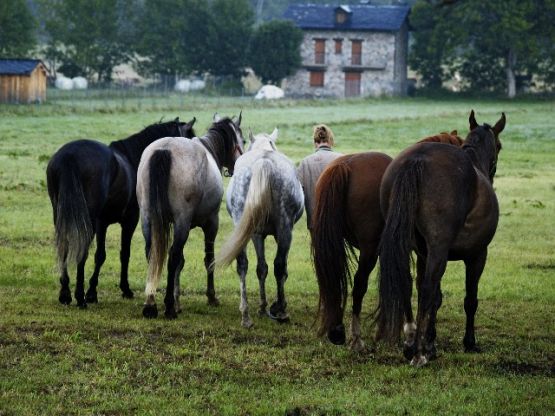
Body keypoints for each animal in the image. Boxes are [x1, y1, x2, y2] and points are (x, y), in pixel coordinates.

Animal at [46, 117, 198, 308]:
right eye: (189, 137)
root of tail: (70, 156)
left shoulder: (102, 222)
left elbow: (100, 255)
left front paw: (92, 292)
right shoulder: (129, 220)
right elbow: (124, 254)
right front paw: (121, 289)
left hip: (59, 214)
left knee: (64, 246)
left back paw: (65, 293)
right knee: (81, 250)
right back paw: (79, 297)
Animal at [136, 114, 243, 318]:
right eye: (243, 140)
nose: (239, 162)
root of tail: (165, 149)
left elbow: (181, 263)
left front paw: (177, 300)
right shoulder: (211, 223)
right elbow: (208, 259)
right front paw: (211, 297)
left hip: (147, 218)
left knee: (152, 253)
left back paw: (151, 302)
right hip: (182, 223)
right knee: (172, 256)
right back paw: (169, 307)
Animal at [216, 128, 304, 326]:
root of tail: (264, 162)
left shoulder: (256, 234)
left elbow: (261, 268)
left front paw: (263, 307)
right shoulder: (267, 234)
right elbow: (273, 268)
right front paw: (269, 306)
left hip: (243, 226)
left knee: (243, 265)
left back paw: (245, 314)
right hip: (284, 229)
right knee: (279, 266)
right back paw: (280, 311)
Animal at [310, 131, 462, 352]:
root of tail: (346, 165)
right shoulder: (419, 253)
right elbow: (416, 285)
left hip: (332, 246)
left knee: (332, 280)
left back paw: (337, 331)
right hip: (369, 250)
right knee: (359, 285)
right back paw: (357, 338)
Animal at [376, 111, 506, 368]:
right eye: (499, 146)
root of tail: (417, 160)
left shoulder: (423, 253)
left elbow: (434, 298)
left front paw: (431, 343)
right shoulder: (477, 255)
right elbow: (469, 299)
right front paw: (468, 342)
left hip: (409, 245)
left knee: (407, 283)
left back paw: (411, 343)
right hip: (440, 248)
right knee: (426, 288)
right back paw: (418, 354)